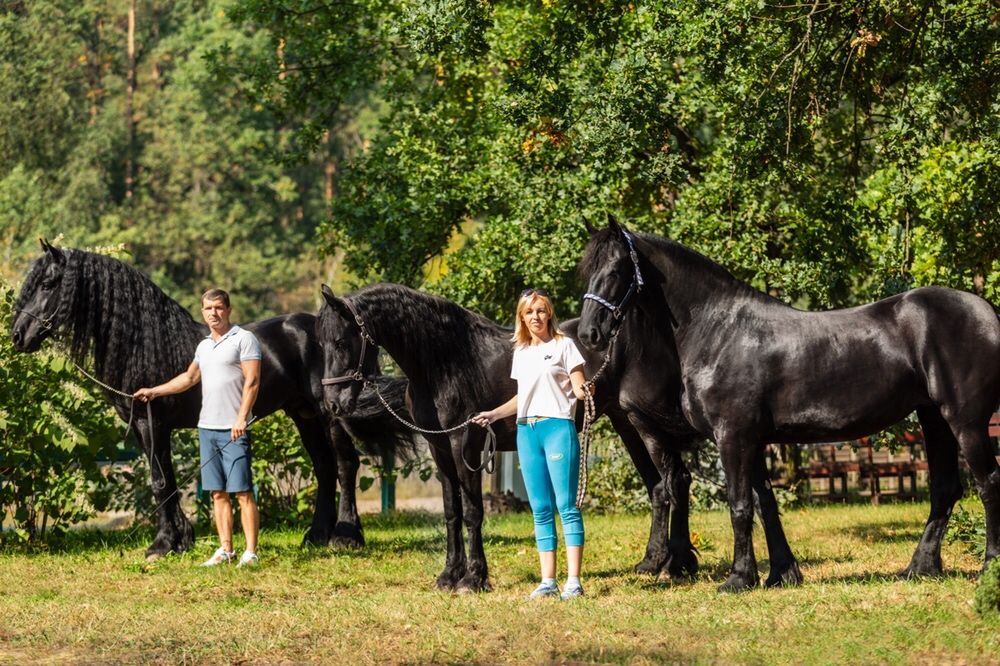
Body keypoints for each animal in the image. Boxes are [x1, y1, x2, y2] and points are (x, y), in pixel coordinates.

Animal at [11, 241, 418, 556]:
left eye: (47, 283)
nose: (17, 336)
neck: (145, 344)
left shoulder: (151, 423)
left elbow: (160, 481)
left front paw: (162, 544)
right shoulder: (148, 428)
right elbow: (165, 479)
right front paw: (179, 540)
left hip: (329, 412)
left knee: (346, 464)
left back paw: (346, 537)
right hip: (303, 415)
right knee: (325, 467)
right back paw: (316, 535)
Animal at [320, 280, 704, 588]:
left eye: (341, 341)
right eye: (322, 346)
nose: (333, 404)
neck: (445, 362)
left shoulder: (466, 445)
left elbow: (472, 512)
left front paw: (473, 578)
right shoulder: (439, 447)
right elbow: (451, 512)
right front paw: (449, 575)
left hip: (646, 425)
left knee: (676, 480)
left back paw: (677, 565)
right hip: (626, 424)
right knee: (659, 487)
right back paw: (653, 562)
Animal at [576, 219, 1000, 592]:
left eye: (615, 270)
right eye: (587, 271)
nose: (588, 333)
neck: (721, 331)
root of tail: (985, 311)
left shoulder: (732, 437)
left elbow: (740, 505)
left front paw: (738, 579)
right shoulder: (754, 440)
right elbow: (766, 504)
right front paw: (782, 573)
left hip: (965, 422)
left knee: (988, 483)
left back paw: (988, 567)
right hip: (934, 419)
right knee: (945, 489)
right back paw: (920, 568)